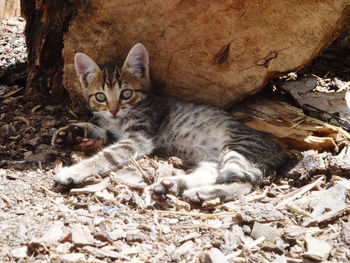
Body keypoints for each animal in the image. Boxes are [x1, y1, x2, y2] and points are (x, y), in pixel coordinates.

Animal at [52, 42, 288, 204]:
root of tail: (282, 151)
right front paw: (70, 132)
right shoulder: (118, 133)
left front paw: (75, 170)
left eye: (126, 93)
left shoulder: (140, 137)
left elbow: (107, 155)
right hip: (214, 159)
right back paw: (174, 185)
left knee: (244, 183)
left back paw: (201, 193)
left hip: (238, 148)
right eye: (100, 97)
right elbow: (101, 133)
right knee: (213, 174)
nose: (113, 110)